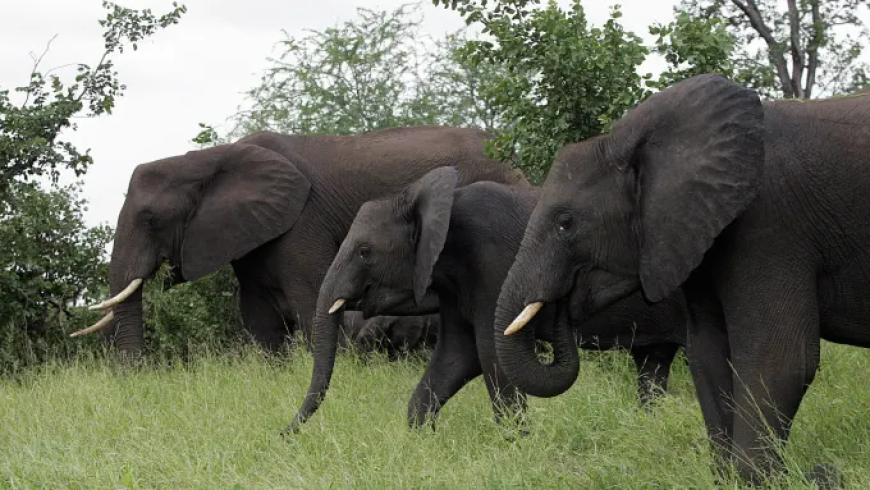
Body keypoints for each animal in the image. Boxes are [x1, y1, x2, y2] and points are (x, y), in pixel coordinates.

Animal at [71, 125, 528, 356]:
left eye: (151, 219)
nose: (135, 376)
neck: (211, 158)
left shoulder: (301, 222)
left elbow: (312, 304)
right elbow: (259, 319)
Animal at [290, 168, 692, 432]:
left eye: (364, 252)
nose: (285, 434)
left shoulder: (492, 264)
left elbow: (491, 355)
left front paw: (519, 446)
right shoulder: (456, 284)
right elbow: (457, 355)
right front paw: (422, 436)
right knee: (653, 365)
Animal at [494, 72, 868, 486]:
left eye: (565, 224)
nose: (559, 304)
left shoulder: (772, 228)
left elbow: (781, 360)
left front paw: (763, 481)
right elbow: (707, 355)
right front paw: (727, 479)